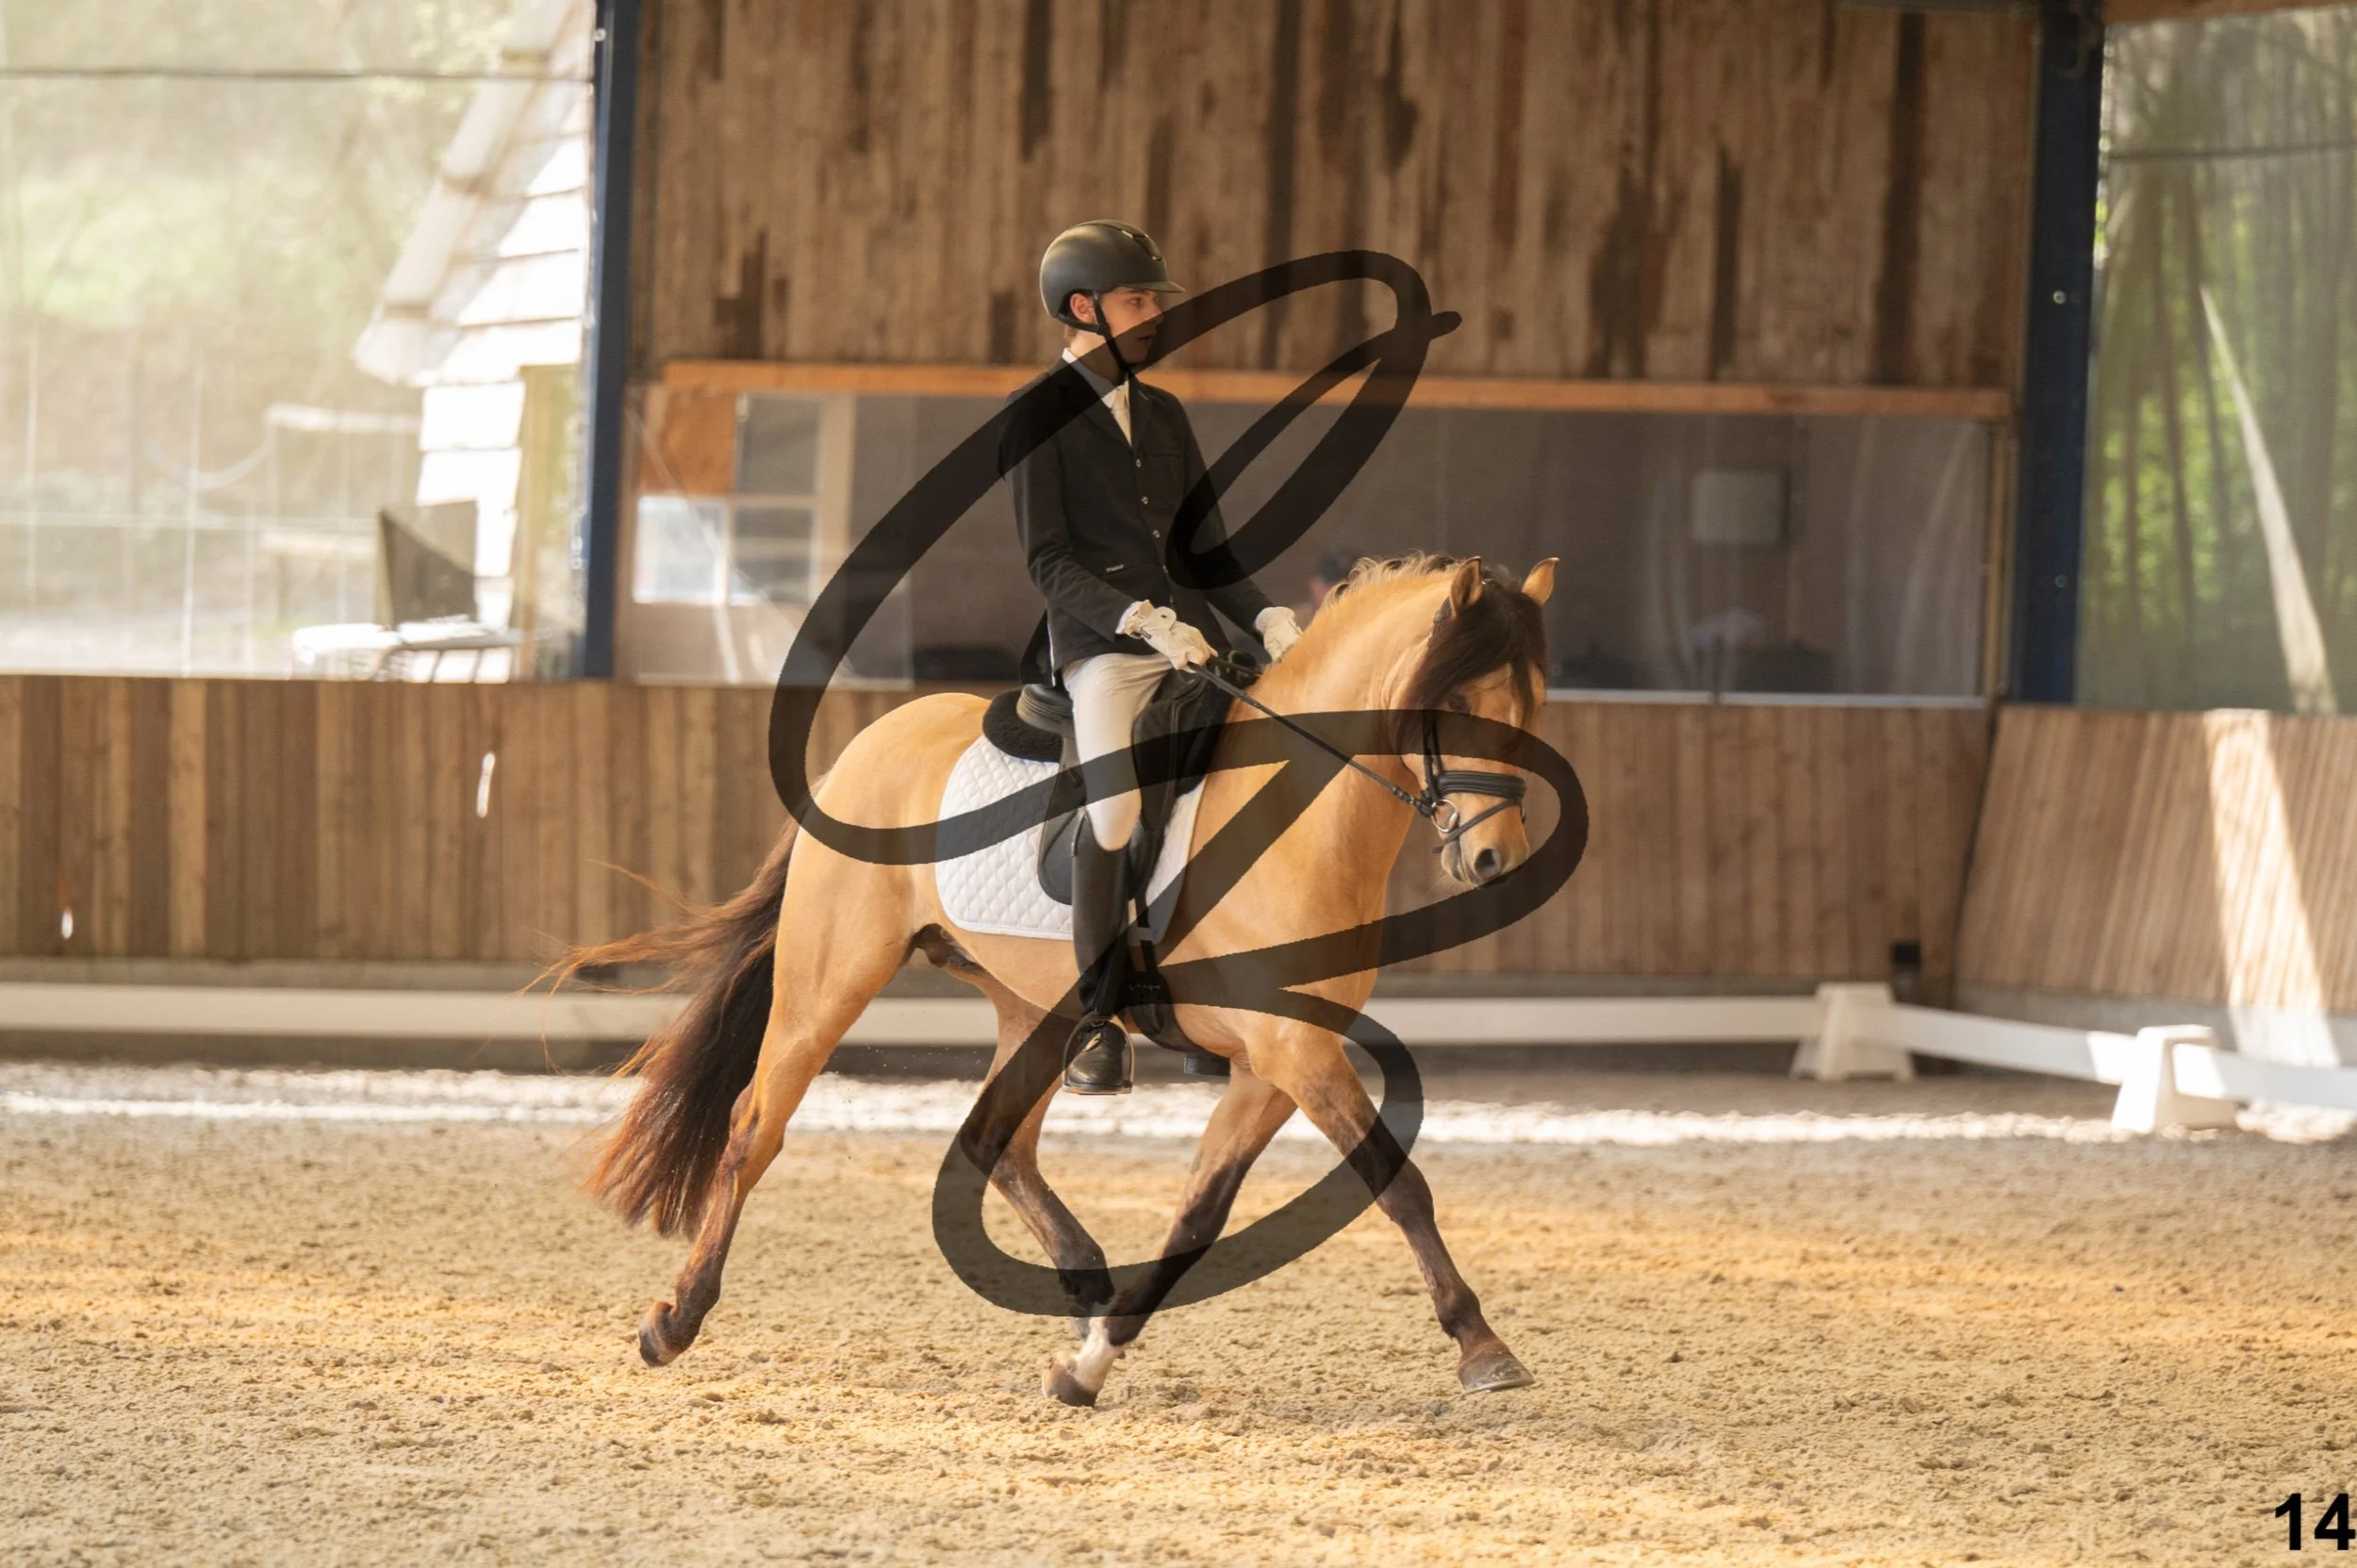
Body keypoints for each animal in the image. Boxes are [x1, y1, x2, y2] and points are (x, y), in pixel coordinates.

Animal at [559, 552, 1559, 1407]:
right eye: (1459, 702)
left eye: (1535, 706)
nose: (1494, 859)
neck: (1293, 814)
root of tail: (868, 743)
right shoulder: (1295, 1051)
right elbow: (1398, 1180)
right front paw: (1484, 1347)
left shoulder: (1273, 1064)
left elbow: (1198, 1214)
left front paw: (1089, 1363)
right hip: (828, 983)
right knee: (754, 1128)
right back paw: (675, 1319)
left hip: (1033, 1011)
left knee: (993, 1139)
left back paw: (1087, 1281)